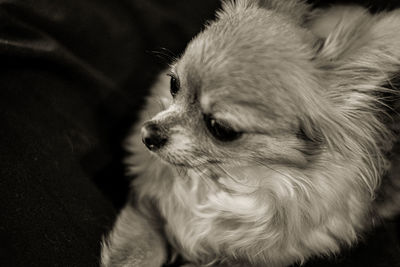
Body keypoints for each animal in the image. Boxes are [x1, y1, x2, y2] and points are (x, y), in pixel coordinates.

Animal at [101, 1, 400, 266]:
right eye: (174, 84)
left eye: (221, 129)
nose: (148, 133)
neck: (224, 181)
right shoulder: (148, 206)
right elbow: (136, 252)